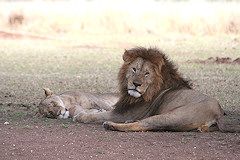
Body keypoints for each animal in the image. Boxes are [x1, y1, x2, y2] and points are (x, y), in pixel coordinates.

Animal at [73, 47, 238, 132]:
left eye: (147, 73)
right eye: (134, 69)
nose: (136, 84)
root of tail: (218, 112)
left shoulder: (120, 113)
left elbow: (97, 116)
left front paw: (80, 116)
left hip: (172, 116)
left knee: (141, 125)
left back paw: (111, 125)